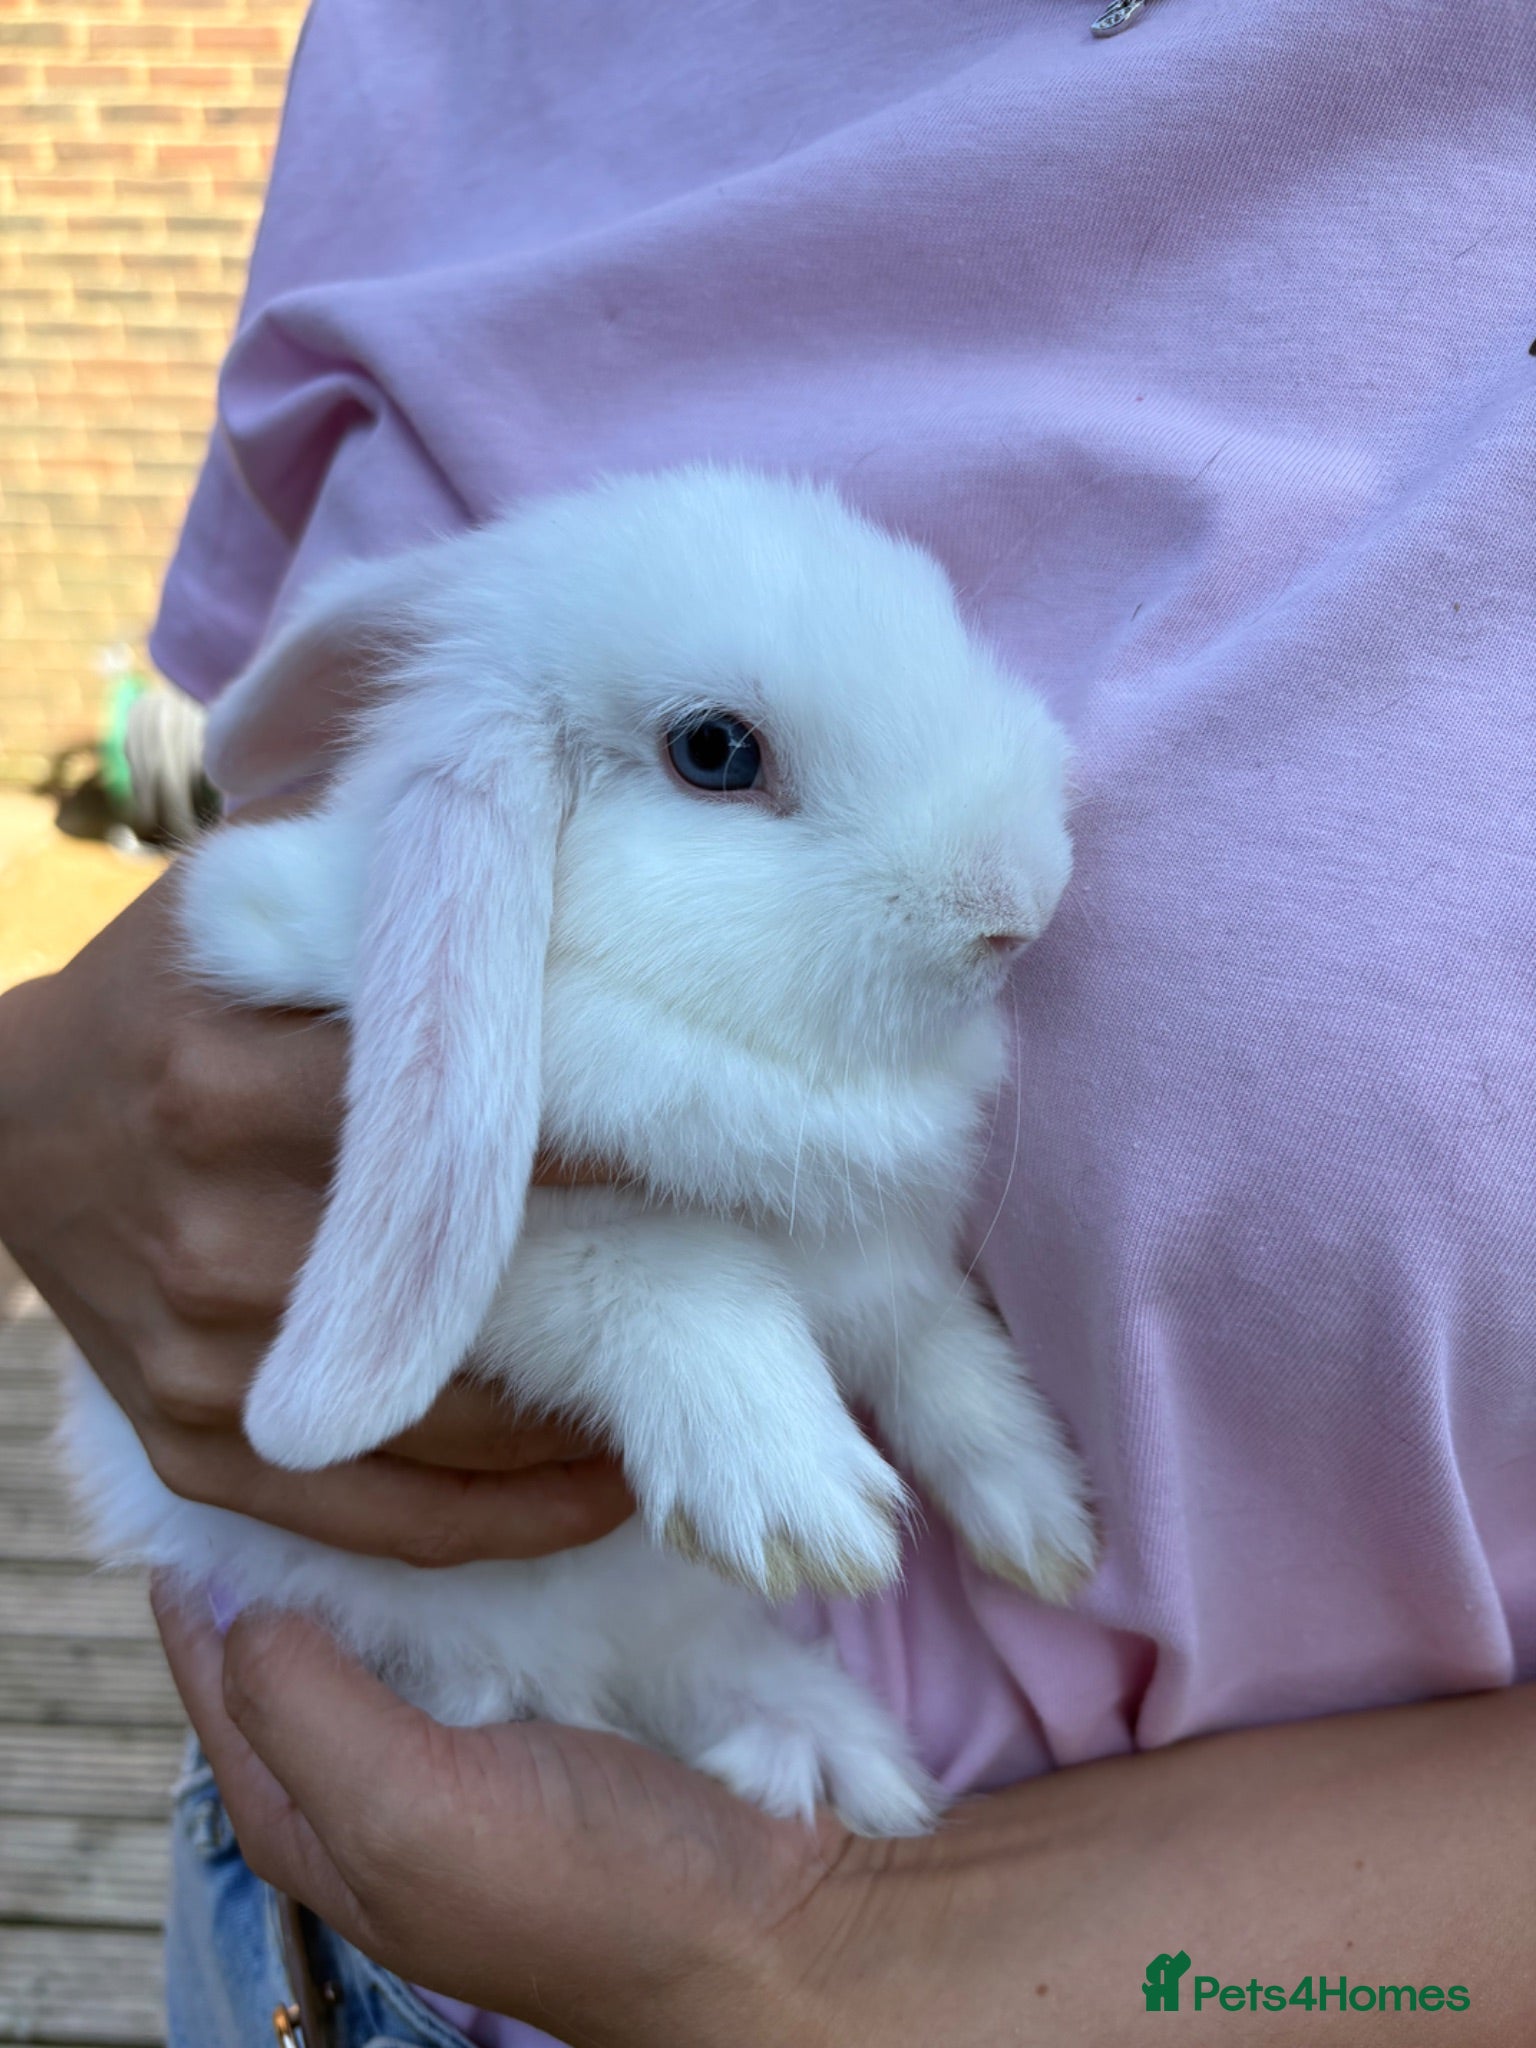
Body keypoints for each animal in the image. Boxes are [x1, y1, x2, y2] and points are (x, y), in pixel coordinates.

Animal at [63, 466, 1095, 1837]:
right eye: (716, 751)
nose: (1020, 904)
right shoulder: (513, 1238)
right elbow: (661, 1271)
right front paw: (803, 1498)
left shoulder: (891, 1262)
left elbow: (945, 1358)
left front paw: (1045, 1523)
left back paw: (826, 1753)